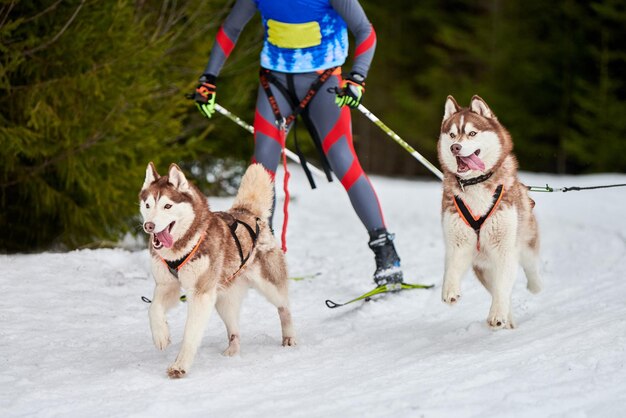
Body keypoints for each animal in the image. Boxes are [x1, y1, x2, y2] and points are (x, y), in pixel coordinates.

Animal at [140, 162, 296, 378]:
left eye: (167, 206)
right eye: (148, 205)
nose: (149, 226)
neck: (183, 246)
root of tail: (246, 211)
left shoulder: (200, 294)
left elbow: (190, 334)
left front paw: (180, 365)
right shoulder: (167, 285)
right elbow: (153, 308)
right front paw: (161, 335)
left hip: (269, 285)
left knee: (284, 307)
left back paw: (289, 337)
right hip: (223, 300)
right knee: (234, 330)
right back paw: (233, 350)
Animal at [436, 95, 540, 330]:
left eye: (472, 133)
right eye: (452, 135)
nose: (455, 147)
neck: (475, 184)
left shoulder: (505, 249)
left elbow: (503, 288)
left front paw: (497, 315)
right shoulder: (457, 241)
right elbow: (452, 267)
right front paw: (450, 290)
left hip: (525, 241)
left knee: (529, 266)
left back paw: (535, 286)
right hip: (482, 268)